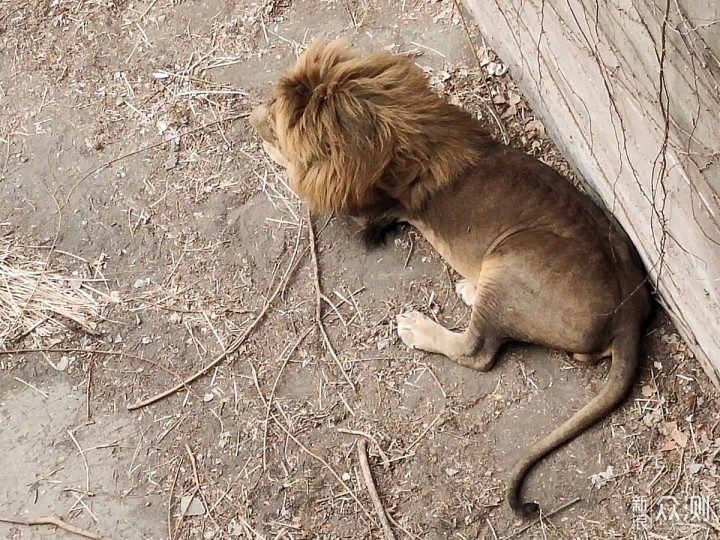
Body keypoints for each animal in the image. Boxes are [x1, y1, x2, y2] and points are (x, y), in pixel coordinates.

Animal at [249, 39, 652, 516]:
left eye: (276, 117)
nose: (253, 112)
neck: (404, 129)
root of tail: (630, 315)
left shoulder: (369, 212)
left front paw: (274, 150)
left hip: (509, 259)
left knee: (477, 351)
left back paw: (418, 326)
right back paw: (467, 288)